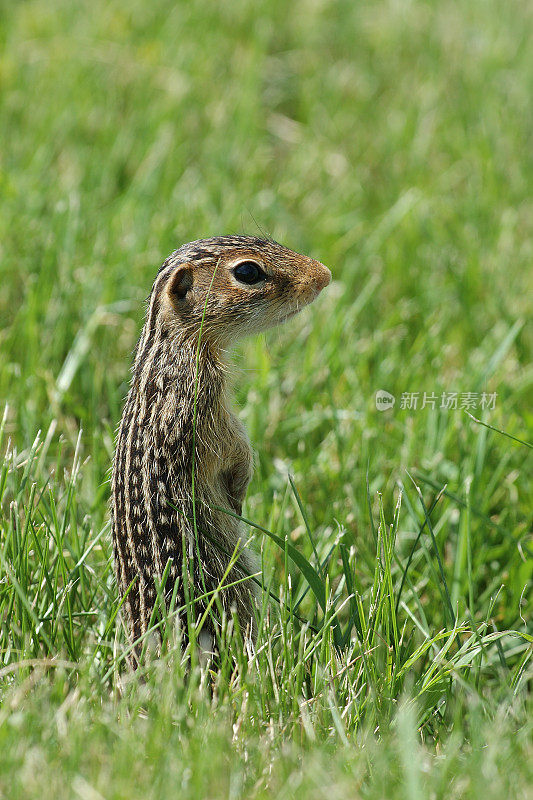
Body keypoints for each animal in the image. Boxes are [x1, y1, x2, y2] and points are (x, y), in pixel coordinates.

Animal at [110, 234, 330, 664]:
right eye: (247, 271)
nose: (324, 275)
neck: (171, 349)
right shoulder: (207, 411)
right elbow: (237, 450)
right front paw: (241, 488)